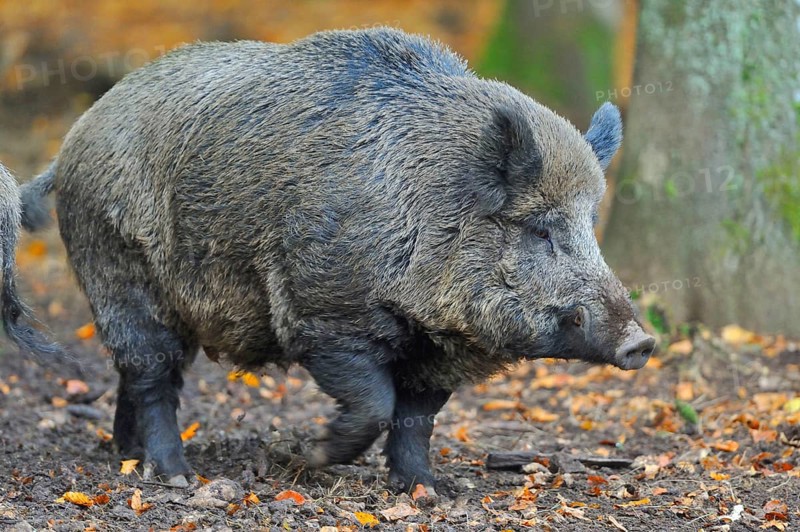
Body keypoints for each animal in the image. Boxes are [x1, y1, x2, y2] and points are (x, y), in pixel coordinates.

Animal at [15, 27, 654, 492]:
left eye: (590, 225)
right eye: (540, 229)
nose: (642, 341)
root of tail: (74, 140)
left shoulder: (441, 352)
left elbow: (417, 419)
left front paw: (428, 491)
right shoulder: (326, 314)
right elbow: (375, 406)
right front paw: (298, 455)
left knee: (147, 372)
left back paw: (127, 455)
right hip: (115, 267)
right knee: (148, 371)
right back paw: (174, 476)